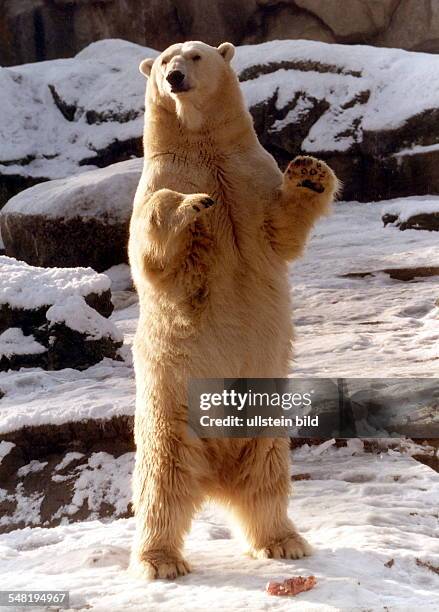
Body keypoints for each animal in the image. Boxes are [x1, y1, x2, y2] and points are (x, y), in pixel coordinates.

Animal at [128, 41, 340, 580]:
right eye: (165, 61)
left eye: (196, 56)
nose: (176, 78)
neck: (202, 143)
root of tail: (216, 475)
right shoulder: (160, 178)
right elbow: (152, 249)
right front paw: (189, 205)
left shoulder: (248, 175)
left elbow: (280, 227)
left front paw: (310, 174)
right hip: (171, 409)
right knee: (162, 483)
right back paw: (160, 561)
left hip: (264, 417)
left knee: (265, 476)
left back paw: (284, 541)